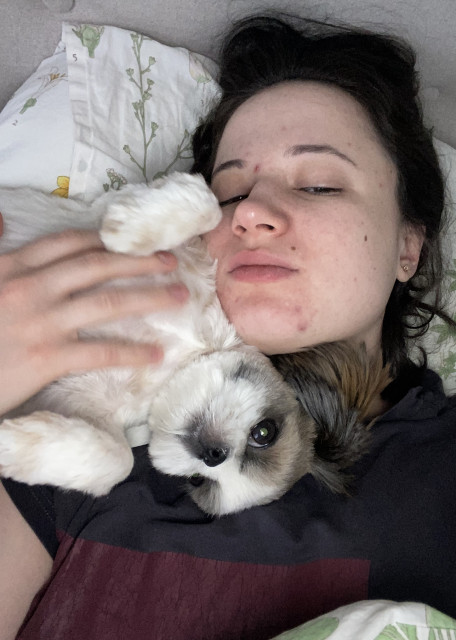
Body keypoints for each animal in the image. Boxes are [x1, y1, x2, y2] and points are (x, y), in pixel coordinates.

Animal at [0, 173, 390, 515]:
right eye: (265, 432)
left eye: (197, 480)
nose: (213, 455)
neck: (183, 352)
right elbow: (207, 204)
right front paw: (128, 228)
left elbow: (117, 461)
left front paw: (12, 447)